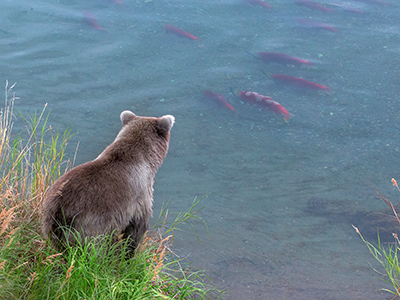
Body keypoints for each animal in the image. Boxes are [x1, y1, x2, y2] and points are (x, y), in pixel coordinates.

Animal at [41, 110, 174, 251]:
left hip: (50, 221)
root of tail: (59, 212)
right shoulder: (141, 192)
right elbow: (137, 226)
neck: (146, 160)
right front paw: (129, 251)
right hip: (90, 223)